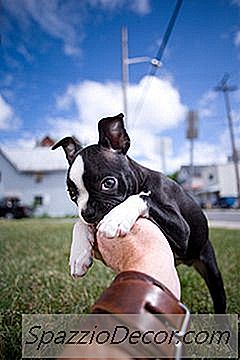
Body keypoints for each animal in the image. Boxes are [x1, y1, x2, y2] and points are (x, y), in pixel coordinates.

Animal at [52, 112, 227, 312]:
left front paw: (115, 219)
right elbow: (78, 222)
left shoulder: (183, 232)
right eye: (72, 194)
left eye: (108, 183)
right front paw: (79, 254)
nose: (87, 212)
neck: (142, 180)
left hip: (211, 268)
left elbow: (142, 197)